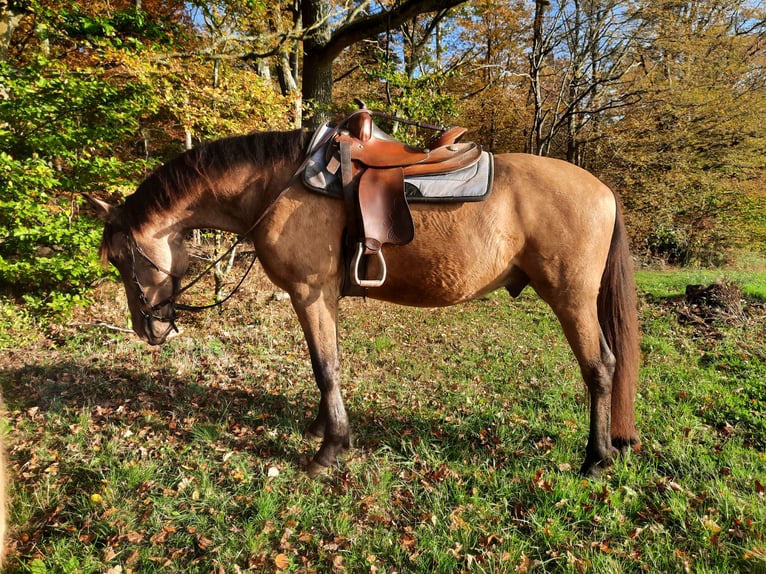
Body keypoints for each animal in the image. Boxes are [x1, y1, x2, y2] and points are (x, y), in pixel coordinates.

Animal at [85, 115, 640, 480]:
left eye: (123, 259)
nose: (148, 329)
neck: (278, 184)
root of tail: (603, 190)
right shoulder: (321, 296)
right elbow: (324, 363)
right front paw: (320, 428)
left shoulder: (309, 292)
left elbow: (325, 366)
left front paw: (330, 450)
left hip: (571, 300)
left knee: (601, 368)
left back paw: (596, 459)